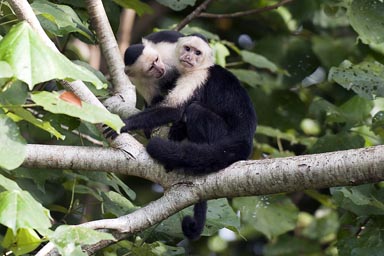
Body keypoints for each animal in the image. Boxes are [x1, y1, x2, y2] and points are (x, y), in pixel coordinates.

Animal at [104, 33, 258, 240]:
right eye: (187, 49)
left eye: (197, 53)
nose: (189, 57)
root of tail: (245, 140)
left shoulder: (196, 76)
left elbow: (174, 109)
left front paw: (124, 125)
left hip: (222, 135)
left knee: (195, 110)